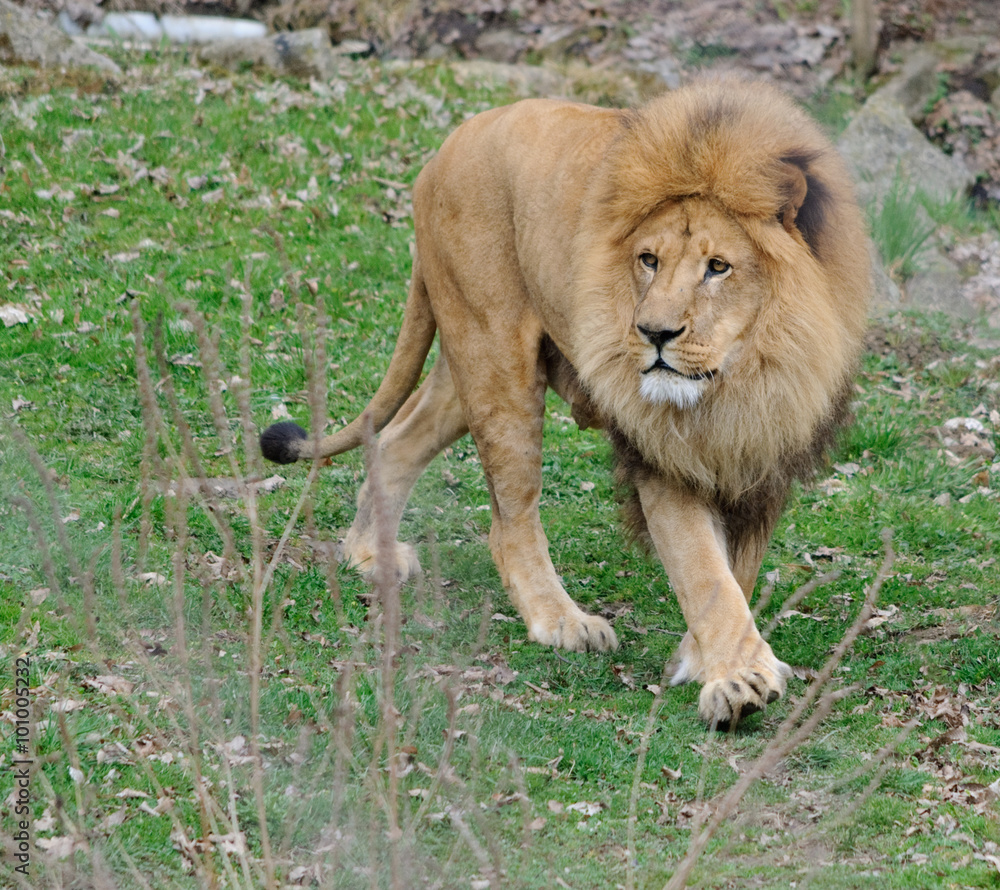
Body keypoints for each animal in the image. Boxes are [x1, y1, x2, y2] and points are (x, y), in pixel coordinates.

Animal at [260, 78, 871, 729]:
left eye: (718, 267)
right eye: (648, 259)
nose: (653, 333)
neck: (743, 380)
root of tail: (446, 147)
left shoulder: (767, 455)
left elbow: (739, 570)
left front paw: (700, 659)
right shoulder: (659, 454)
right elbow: (706, 571)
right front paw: (737, 682)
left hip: (466, 367)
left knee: (398, 440)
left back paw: (367, 554)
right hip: (495, 356)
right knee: (510, 519)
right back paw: (561, 622)